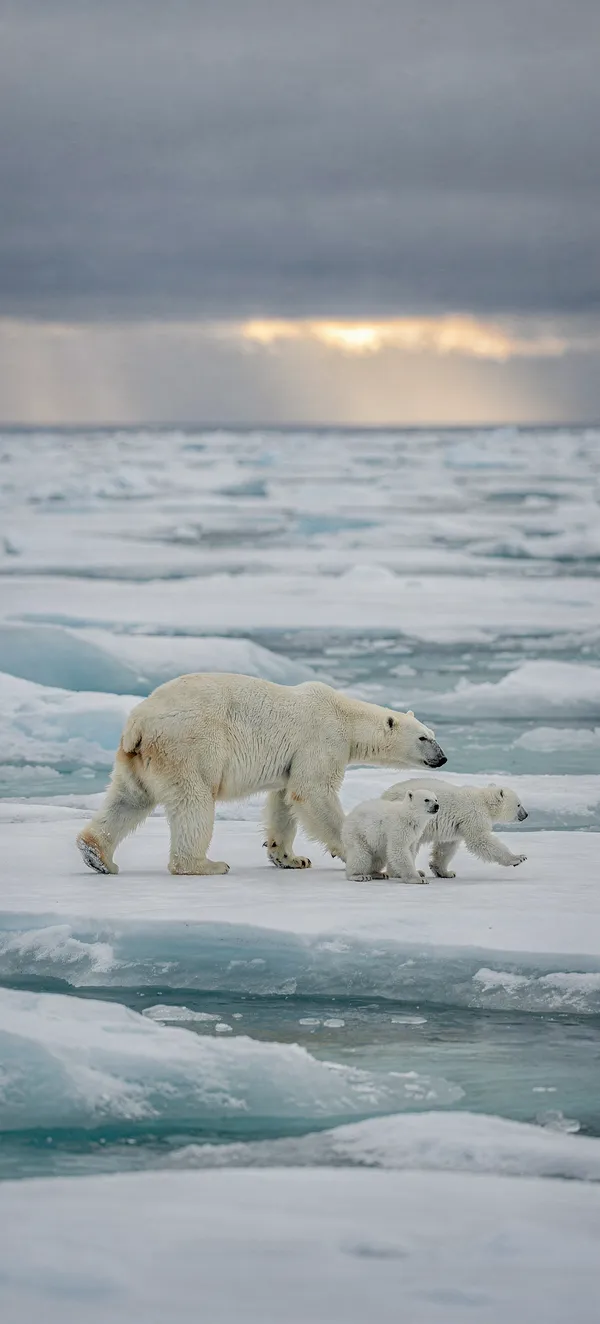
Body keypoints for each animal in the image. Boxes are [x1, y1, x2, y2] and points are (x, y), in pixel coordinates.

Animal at [76, 672, 447, 877]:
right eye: (423, 738)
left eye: (433, 734)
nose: (442, 758)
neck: (346, 715)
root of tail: (139, 722)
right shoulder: (321, 739)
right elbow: (313, 791)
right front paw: (356, 853)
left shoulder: (292, 758)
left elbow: (285, 799)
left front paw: (291, 857)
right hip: (189, 747)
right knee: (194, 803)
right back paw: (206, 864)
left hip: (137, 760)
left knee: (127, 799)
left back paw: (97, 854)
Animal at [381, 778, 528, 878]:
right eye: (519, 805)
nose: (526, 815)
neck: (484, 801)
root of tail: (385, 795)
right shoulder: (473, 814)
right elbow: (480, 839)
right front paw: (518, 858)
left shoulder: (455, 825)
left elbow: (446, 847)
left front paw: (445, 872)